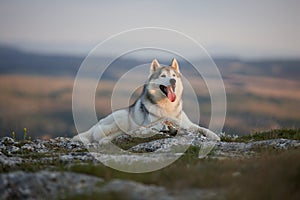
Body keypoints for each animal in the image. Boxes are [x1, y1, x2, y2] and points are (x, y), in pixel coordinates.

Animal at [71, 57, 219, 144]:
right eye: (163, 76)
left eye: (173, 75)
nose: (173, 80)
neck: (167, 106)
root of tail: (95, 125)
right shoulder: (154, 122)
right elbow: (166, 121)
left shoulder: (189, 123)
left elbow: (201, 128)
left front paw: (215, 136)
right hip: (121, 118)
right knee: (101, 138)